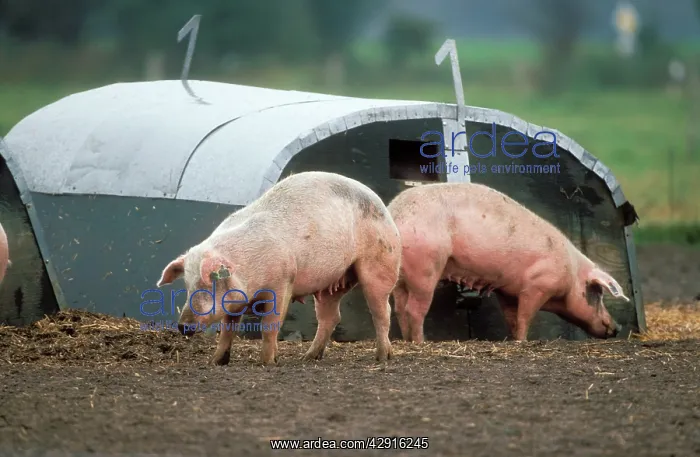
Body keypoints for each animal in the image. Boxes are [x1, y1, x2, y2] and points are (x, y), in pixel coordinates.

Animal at [156, 171, 401, 365]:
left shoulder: (283, 281)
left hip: (381, 264)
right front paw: (216, 362)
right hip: (330, 282)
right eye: (187, 284)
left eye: (208, 282)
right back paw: (308, 358)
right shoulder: (234, 302)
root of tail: (382, 204)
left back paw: (382, 357)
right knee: (331, 317)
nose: (183, 326)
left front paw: (267, 362)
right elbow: (227, 331)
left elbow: (269, 325)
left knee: (382, 311)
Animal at [388, 182, 629, 343]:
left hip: (401, 275)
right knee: (413, 310)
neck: (571, 273)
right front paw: (523, 342)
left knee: (399, 308)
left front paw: (513, 339)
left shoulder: (508, 291)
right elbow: (525, 316)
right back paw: (421, 342)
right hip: (426, 267)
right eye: (597, 293)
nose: (617, 327)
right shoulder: (538, 285)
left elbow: (512, 317)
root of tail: (394, 215)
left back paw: (408, 340)